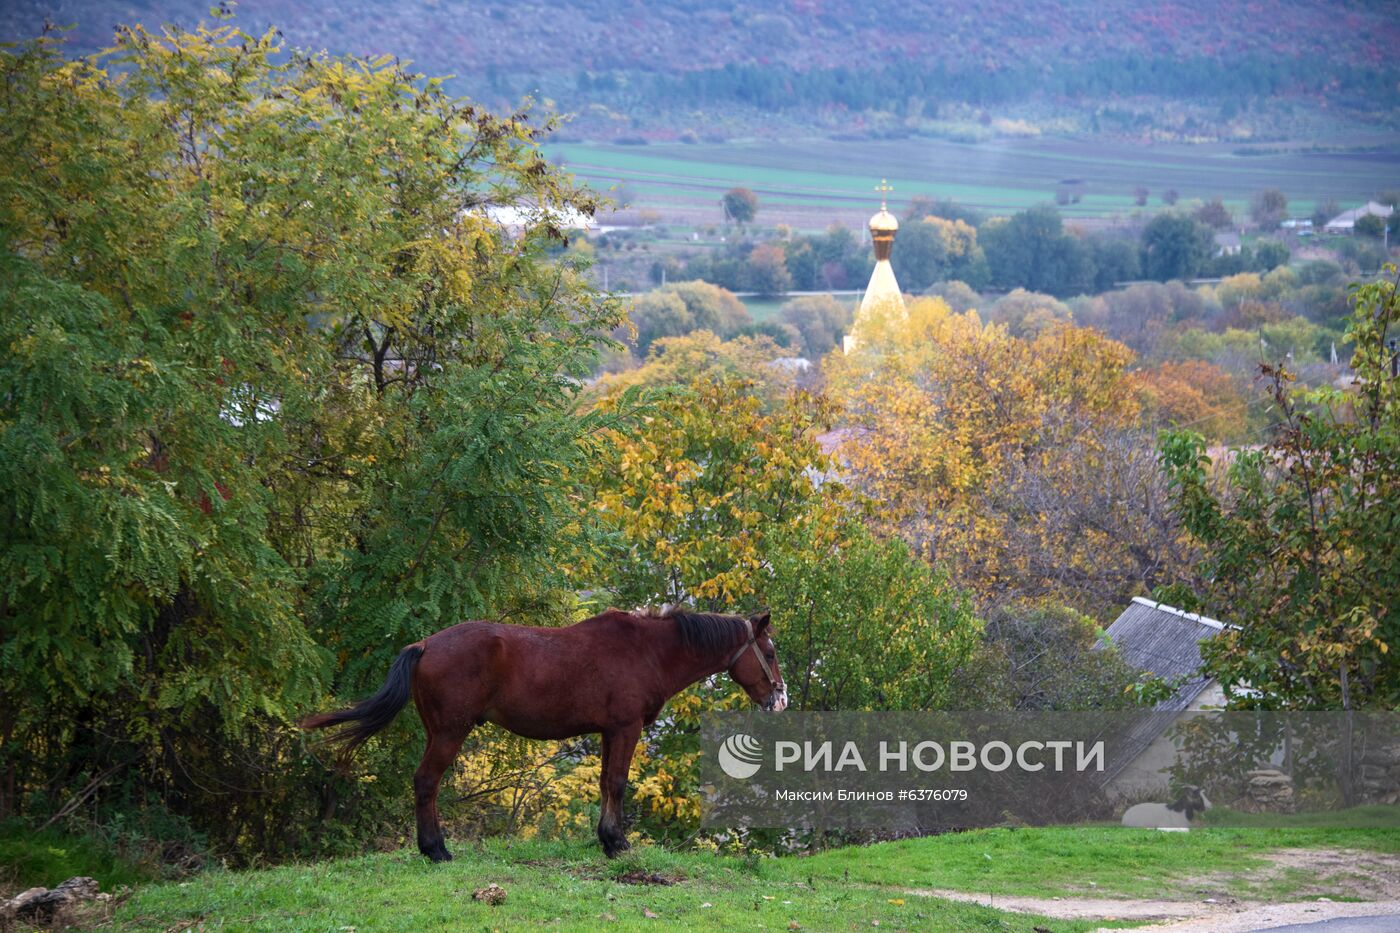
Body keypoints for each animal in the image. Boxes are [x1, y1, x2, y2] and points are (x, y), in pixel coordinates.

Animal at [301, 607, 784, 862]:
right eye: (771, 651)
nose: (779, 699)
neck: (647, 651)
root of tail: (424, 645)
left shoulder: (608, 732)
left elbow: (606, 784)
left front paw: (606, 839)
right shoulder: (625, 728)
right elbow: (617, 783)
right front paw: (618, 844)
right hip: (449, 733)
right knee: (426, 783)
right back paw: (436, 850)